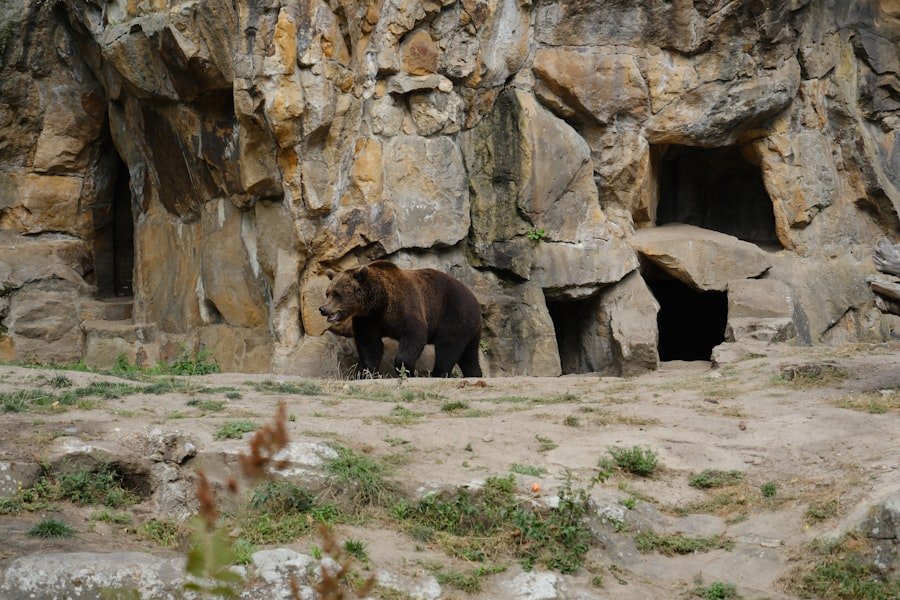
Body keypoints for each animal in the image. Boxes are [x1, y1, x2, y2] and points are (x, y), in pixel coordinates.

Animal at [318, 261, 483, 378]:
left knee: (447, 346)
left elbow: (414, 336)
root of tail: (475, 299)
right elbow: (369, 344)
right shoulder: (367, 319)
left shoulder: (406, 305)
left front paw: (407, 370)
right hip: (470, 329)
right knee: (469, 354)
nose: (323, 309)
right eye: (328, 293)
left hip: (455, 314)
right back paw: (474, 374)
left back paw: (438, 373)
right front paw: (369, 372)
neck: (379, 303)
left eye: (337, 294)